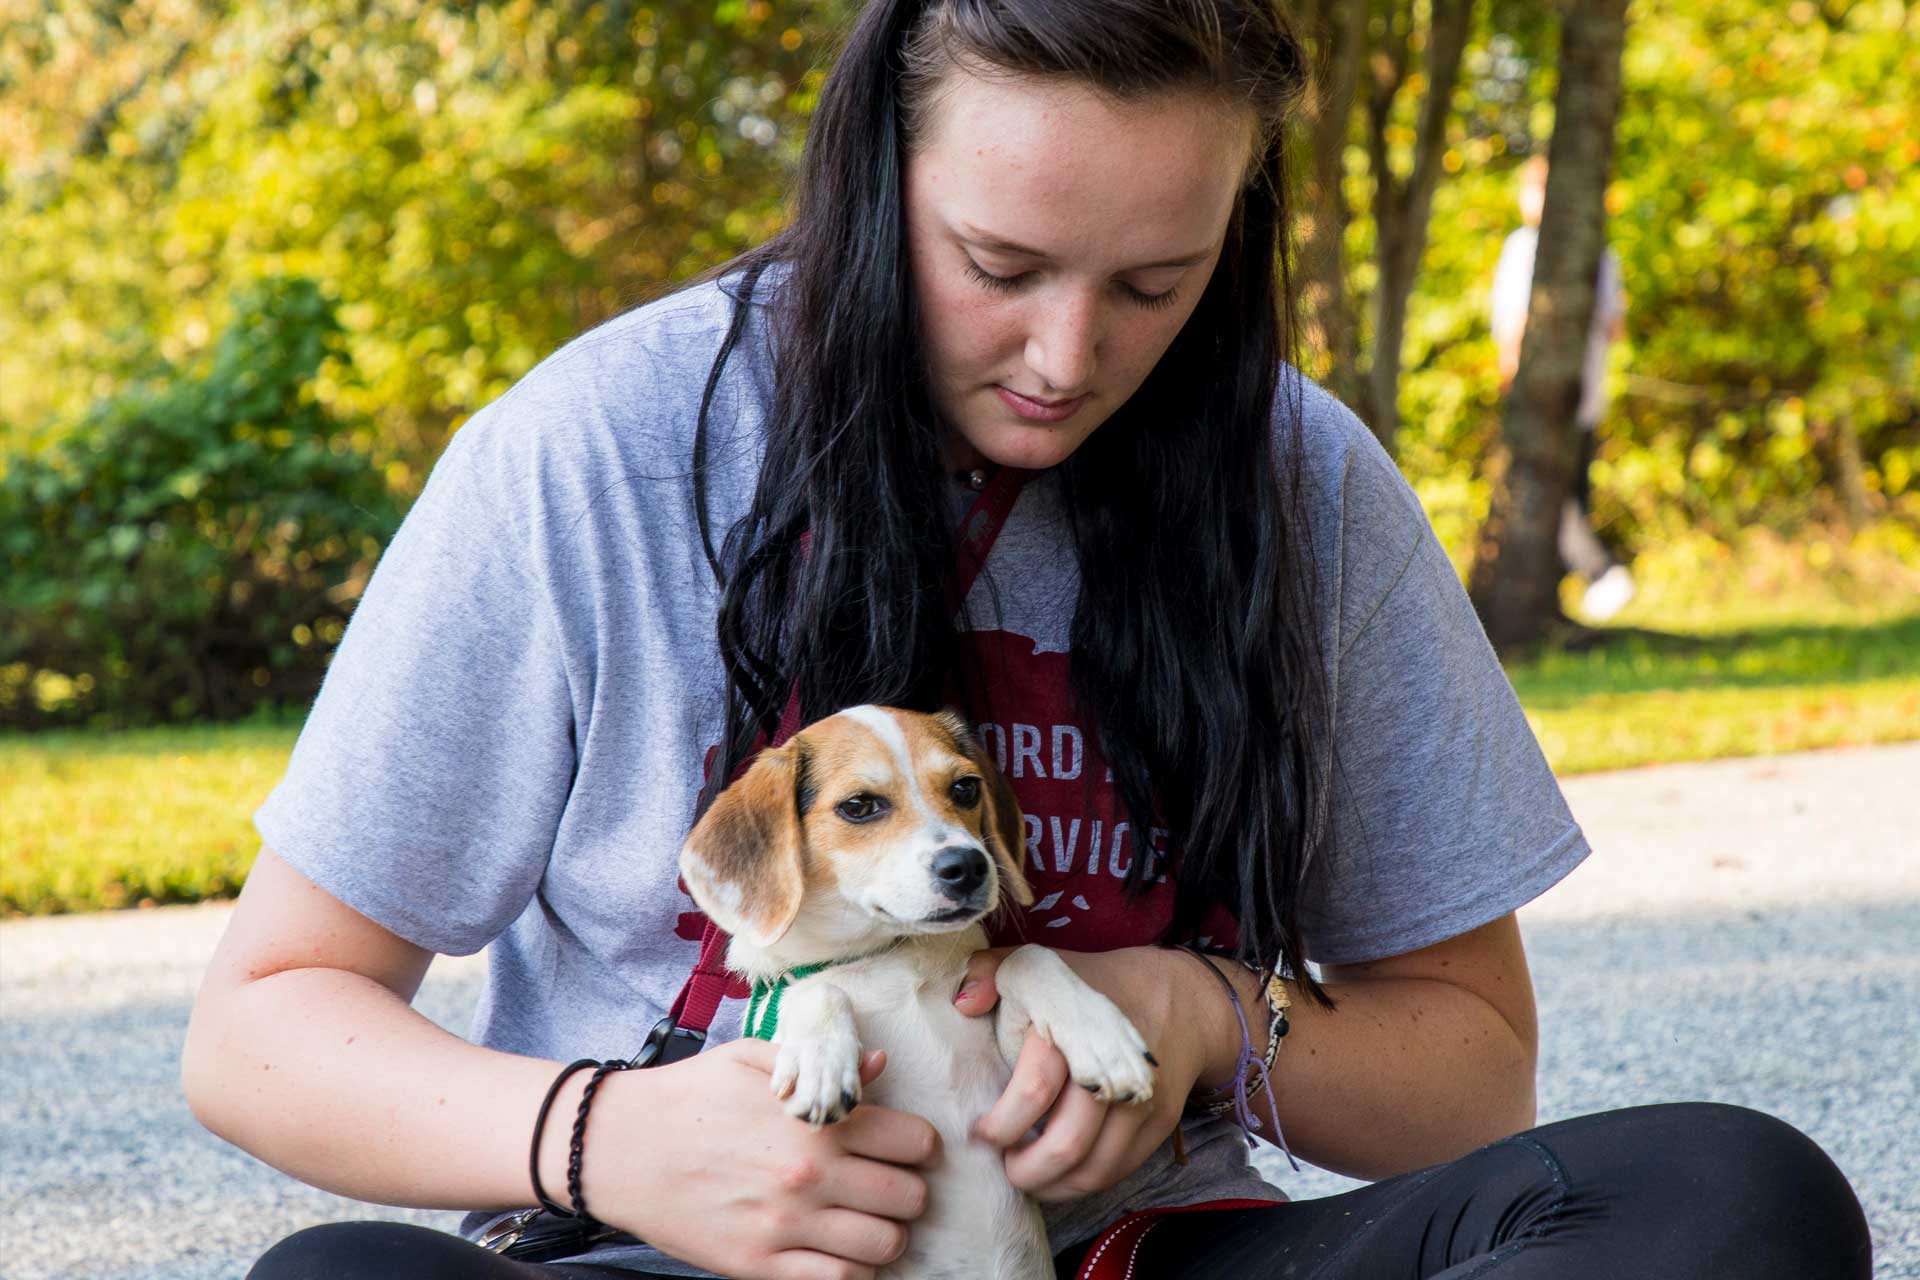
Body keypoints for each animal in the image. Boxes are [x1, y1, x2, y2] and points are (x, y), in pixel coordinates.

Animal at [679, 706, 1152, 1274]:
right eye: (859, 806)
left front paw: (1104, 1041)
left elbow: (1025, 956)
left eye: (966, 788)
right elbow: (814, 990)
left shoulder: (1017, 1120)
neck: (889, 958)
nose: (968, 866)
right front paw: (821, 1062)